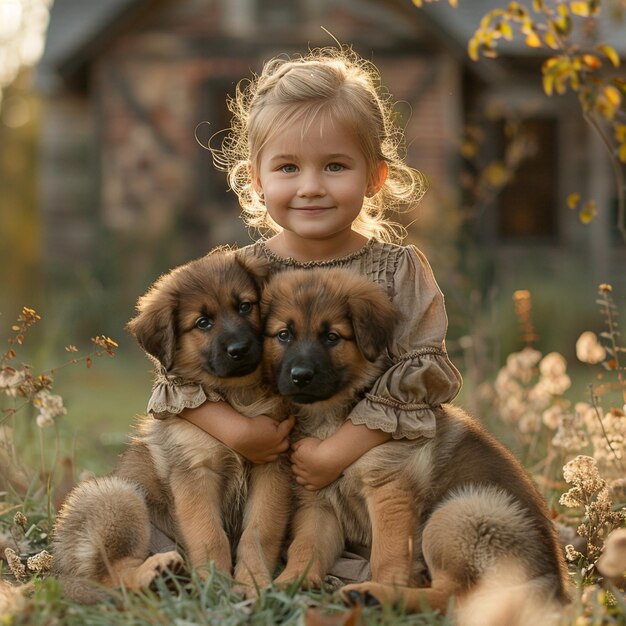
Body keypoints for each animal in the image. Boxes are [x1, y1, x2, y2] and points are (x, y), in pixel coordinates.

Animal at [51, 247, 290, 600]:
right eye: (203, 323)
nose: (241, 350)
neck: (237, 397)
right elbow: (210, 535)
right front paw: (217, 585)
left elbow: (260, 531)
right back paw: (157, 573)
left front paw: (253, 583)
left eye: (245, 306)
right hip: (117, 495)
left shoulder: (272, 467)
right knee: (114, 574)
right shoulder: (195, 472)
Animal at [258, 264, 564, 616]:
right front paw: (289, 583)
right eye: (284, 334)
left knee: (455, 596)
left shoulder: (390, 492)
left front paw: (384, 587)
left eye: (331, 337)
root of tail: (552, 586)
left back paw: (375, 595)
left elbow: (388, 555)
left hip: (458, 513)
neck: (331, 420)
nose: (300, 376)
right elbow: (305, 547)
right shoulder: (317, 501)